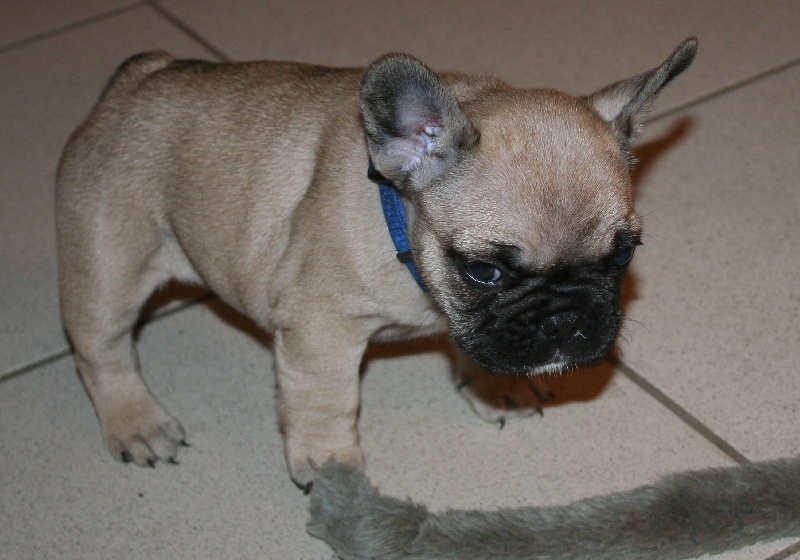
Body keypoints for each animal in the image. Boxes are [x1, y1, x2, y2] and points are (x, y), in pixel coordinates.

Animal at [56, 38, 696, 491]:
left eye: (623, 254)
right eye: (483, 271)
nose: (565, 318)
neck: (400, 224)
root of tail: (140, 76)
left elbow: (477, 346)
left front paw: (495, 389)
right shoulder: (319, 328)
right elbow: (326, 397)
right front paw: (328, 461)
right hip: (109, 260)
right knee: (102, 350)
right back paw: (137, 423)